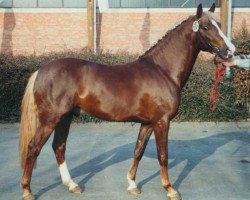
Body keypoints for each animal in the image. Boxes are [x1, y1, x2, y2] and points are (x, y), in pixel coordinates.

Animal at [19, 3, 234, 200]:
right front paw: (170, 189)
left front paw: (132, 185)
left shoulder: (148, 123)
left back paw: (72, 185)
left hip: (65, 118)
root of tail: (41, 71)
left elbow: (138, 151)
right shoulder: (162, 122)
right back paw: (27, 190)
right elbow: (162, 155)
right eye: (205, 27)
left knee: (59, 146)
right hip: (51, 119)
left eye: (220, 24)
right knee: (34, 147)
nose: (230, 50)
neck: (162, 71)